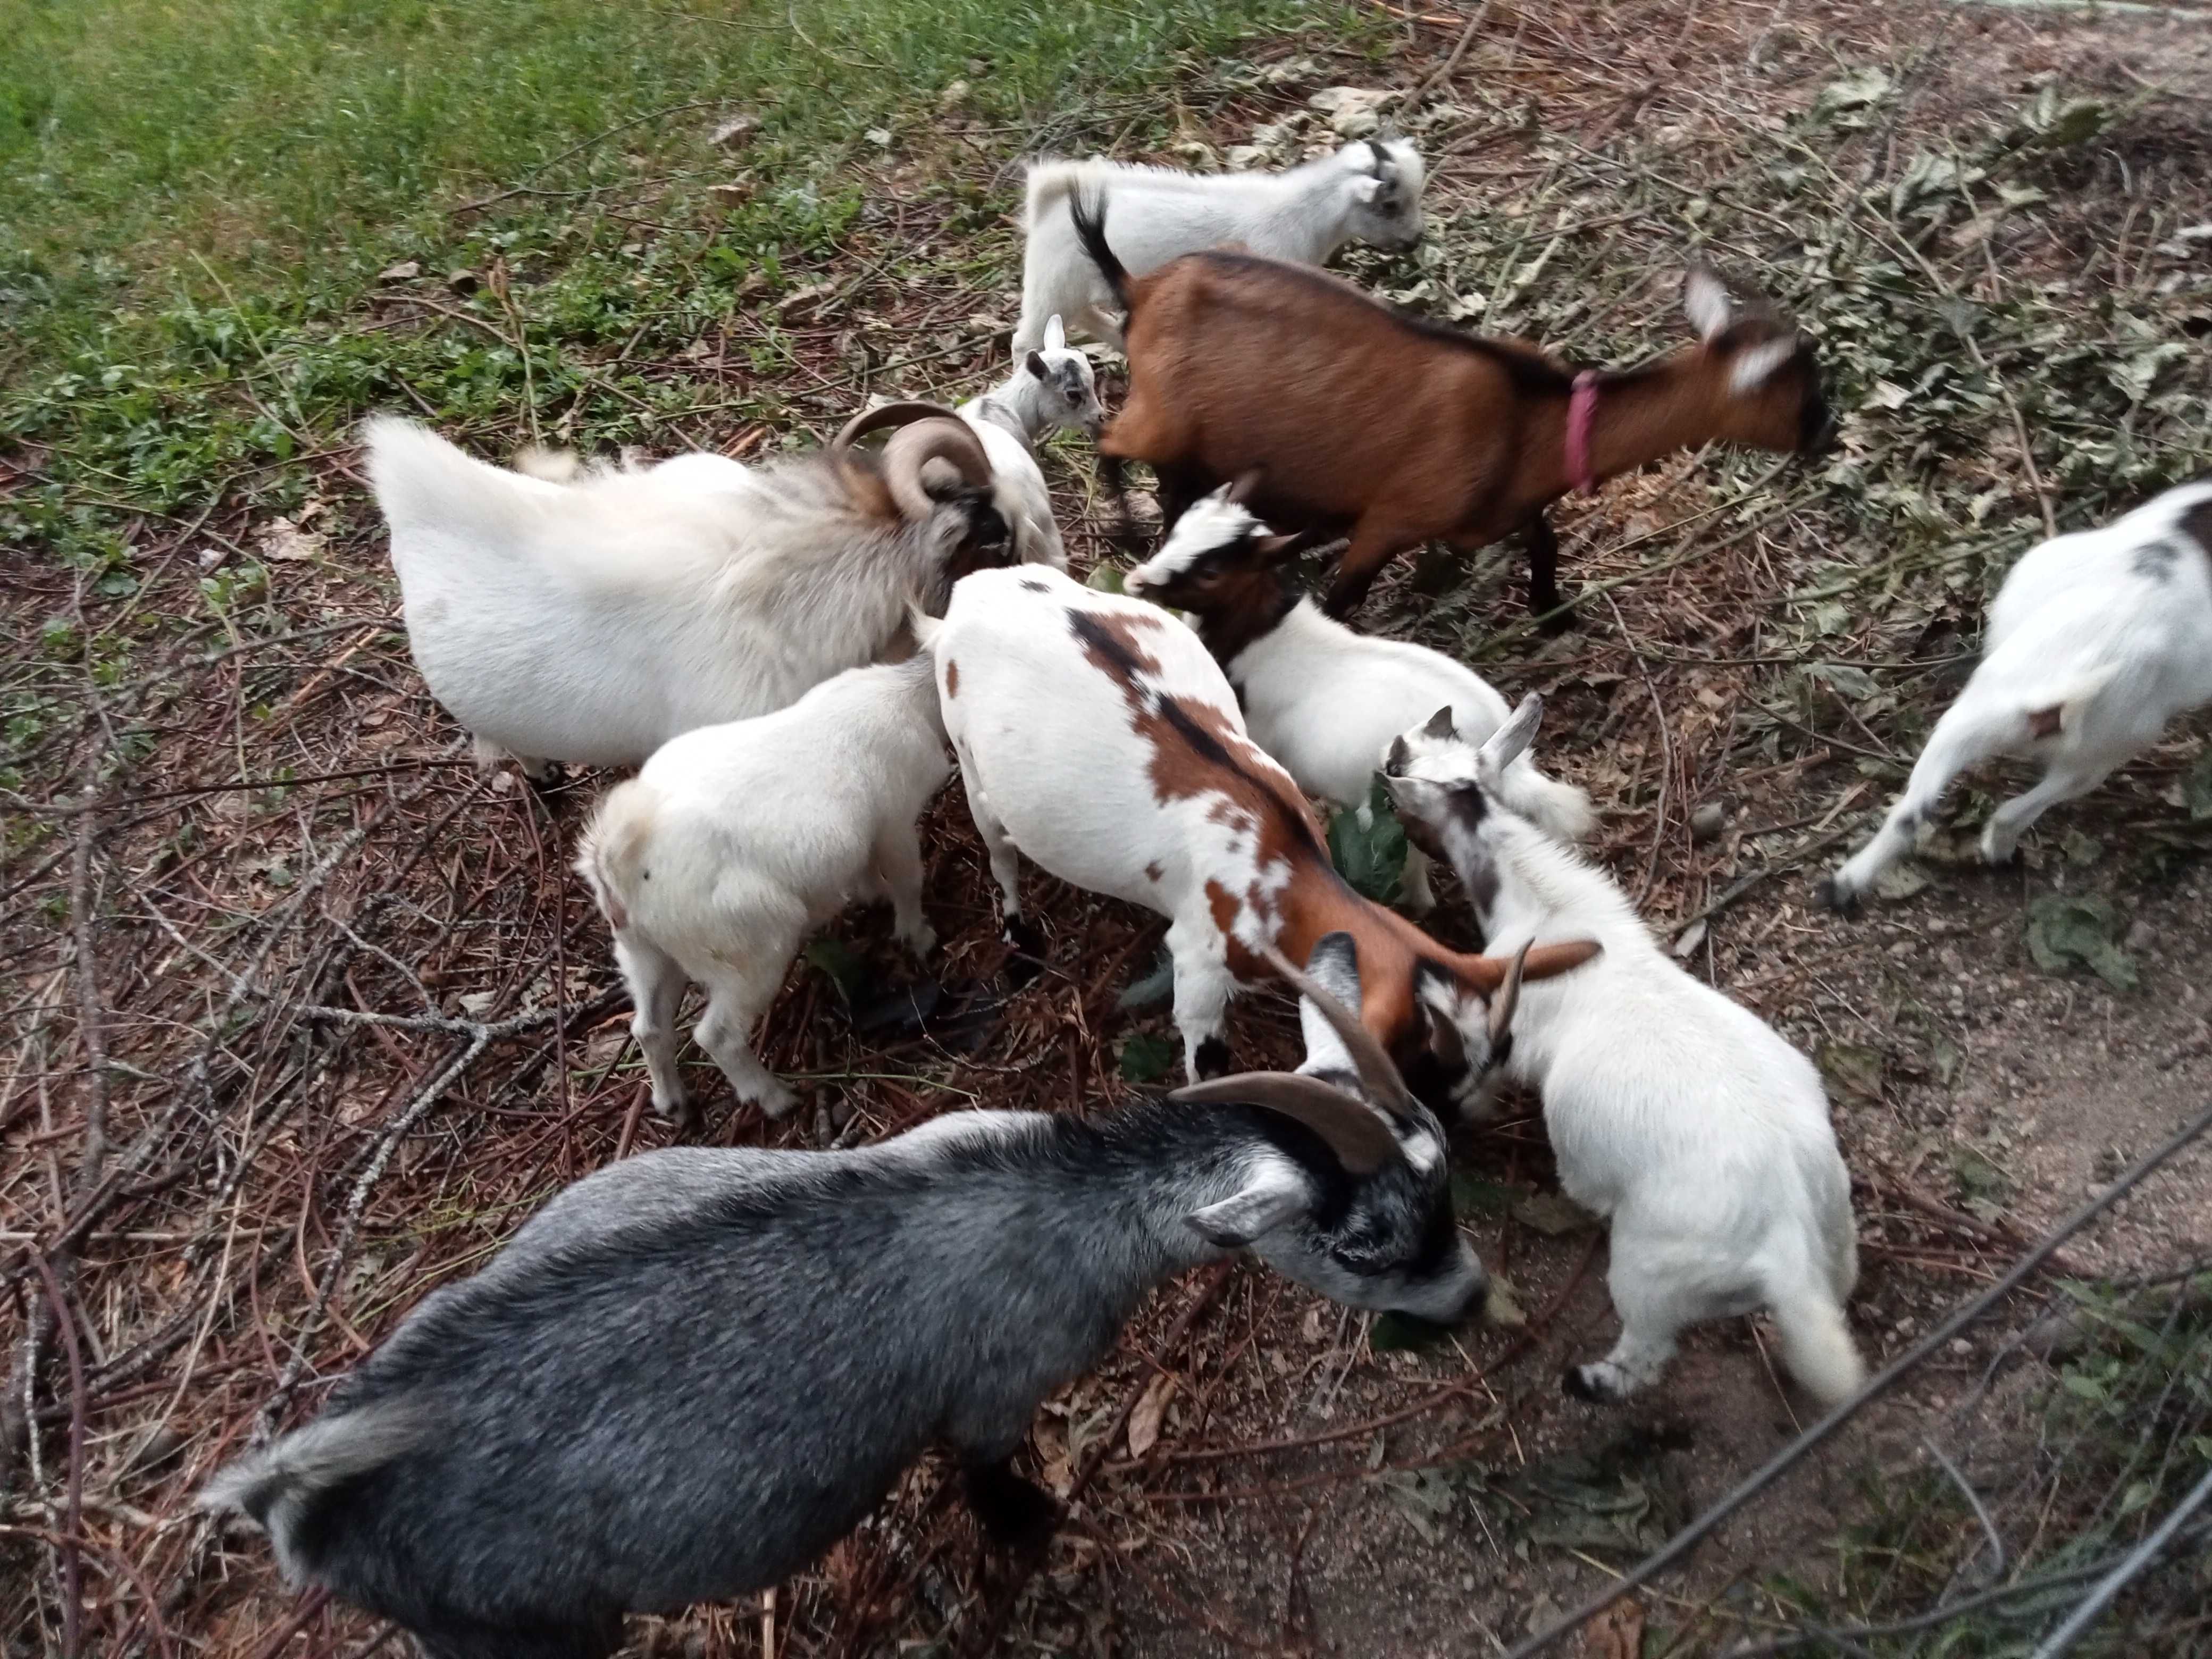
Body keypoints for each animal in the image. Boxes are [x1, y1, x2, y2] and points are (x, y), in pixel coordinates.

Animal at [199, 937, 1504, 1659]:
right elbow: (987, 1476)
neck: (1061, 1198)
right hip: (515, 1631)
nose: (1473, 1298)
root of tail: (306, 1500)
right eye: (1365, 1246)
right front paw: (1033, 1532)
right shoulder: (995, 1389)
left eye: (1444, 1170)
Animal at [907, 566, 1601, 1110]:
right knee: (997, 846)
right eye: (1414, 1060)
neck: (1278, 864)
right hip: (970, 761)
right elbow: (1206, 1061)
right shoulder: (1198, 965)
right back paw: (1019, 942)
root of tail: (971, 593)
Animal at [1070, 190, 1831, 628]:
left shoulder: (1508, 506)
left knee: (1173, 480)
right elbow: (1342, 599)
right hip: (1160, 413)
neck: (1533, 421)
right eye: (1807, 386)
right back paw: (1126, 521)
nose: (1827, 436)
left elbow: (1545, 543)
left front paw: (1551, 614)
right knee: (1111, 443)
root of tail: (1141, 289)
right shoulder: (1391, 517)